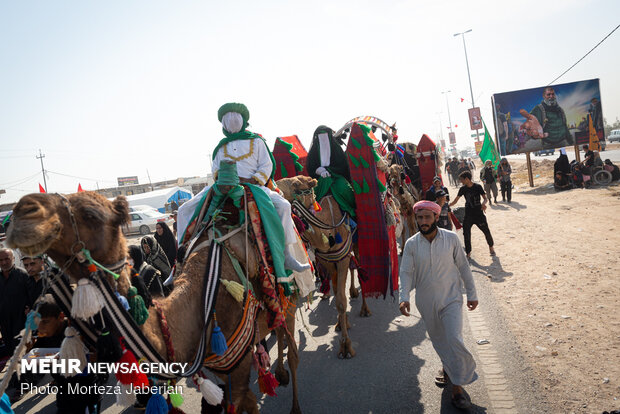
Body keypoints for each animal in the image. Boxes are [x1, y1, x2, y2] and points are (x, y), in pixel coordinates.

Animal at [6, 192, 302, 414]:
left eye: (91, 213)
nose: (22, 211)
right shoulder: (218, 365)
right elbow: (240, 400)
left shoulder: (236, 366)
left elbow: (241, 400)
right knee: (278, 333)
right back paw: (279, 373)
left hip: (289, 299)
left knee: (292, 345)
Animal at [276, 175, 368, 360]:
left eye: (296, 184)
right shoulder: (328, 261)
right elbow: (337, 292)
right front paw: (341, 324)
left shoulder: (341, 258)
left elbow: (341, 301)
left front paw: (346, 347)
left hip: (356, 242)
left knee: (359, 266)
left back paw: (364, 309)